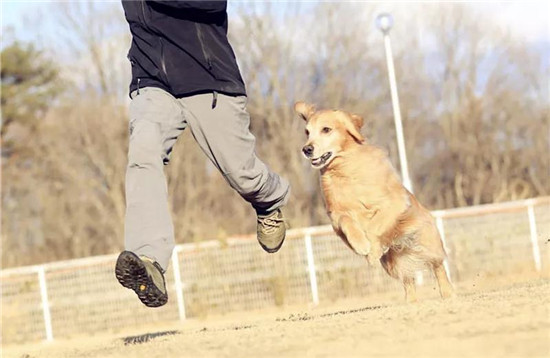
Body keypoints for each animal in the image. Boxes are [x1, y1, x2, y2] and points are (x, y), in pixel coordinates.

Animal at [300, 100, 454, 302]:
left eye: (326, 129)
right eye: (307, 132)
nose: (306, 149)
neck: (345, 169)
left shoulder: (393, 203)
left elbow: (374, 226)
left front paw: (371, 250)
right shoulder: (336, 217)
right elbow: (348, 223)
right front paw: (360, 244)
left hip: (427, 243)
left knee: (438, 266)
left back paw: (447, 292)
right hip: (392, 264)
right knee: (408, 279)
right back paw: (410, 301)